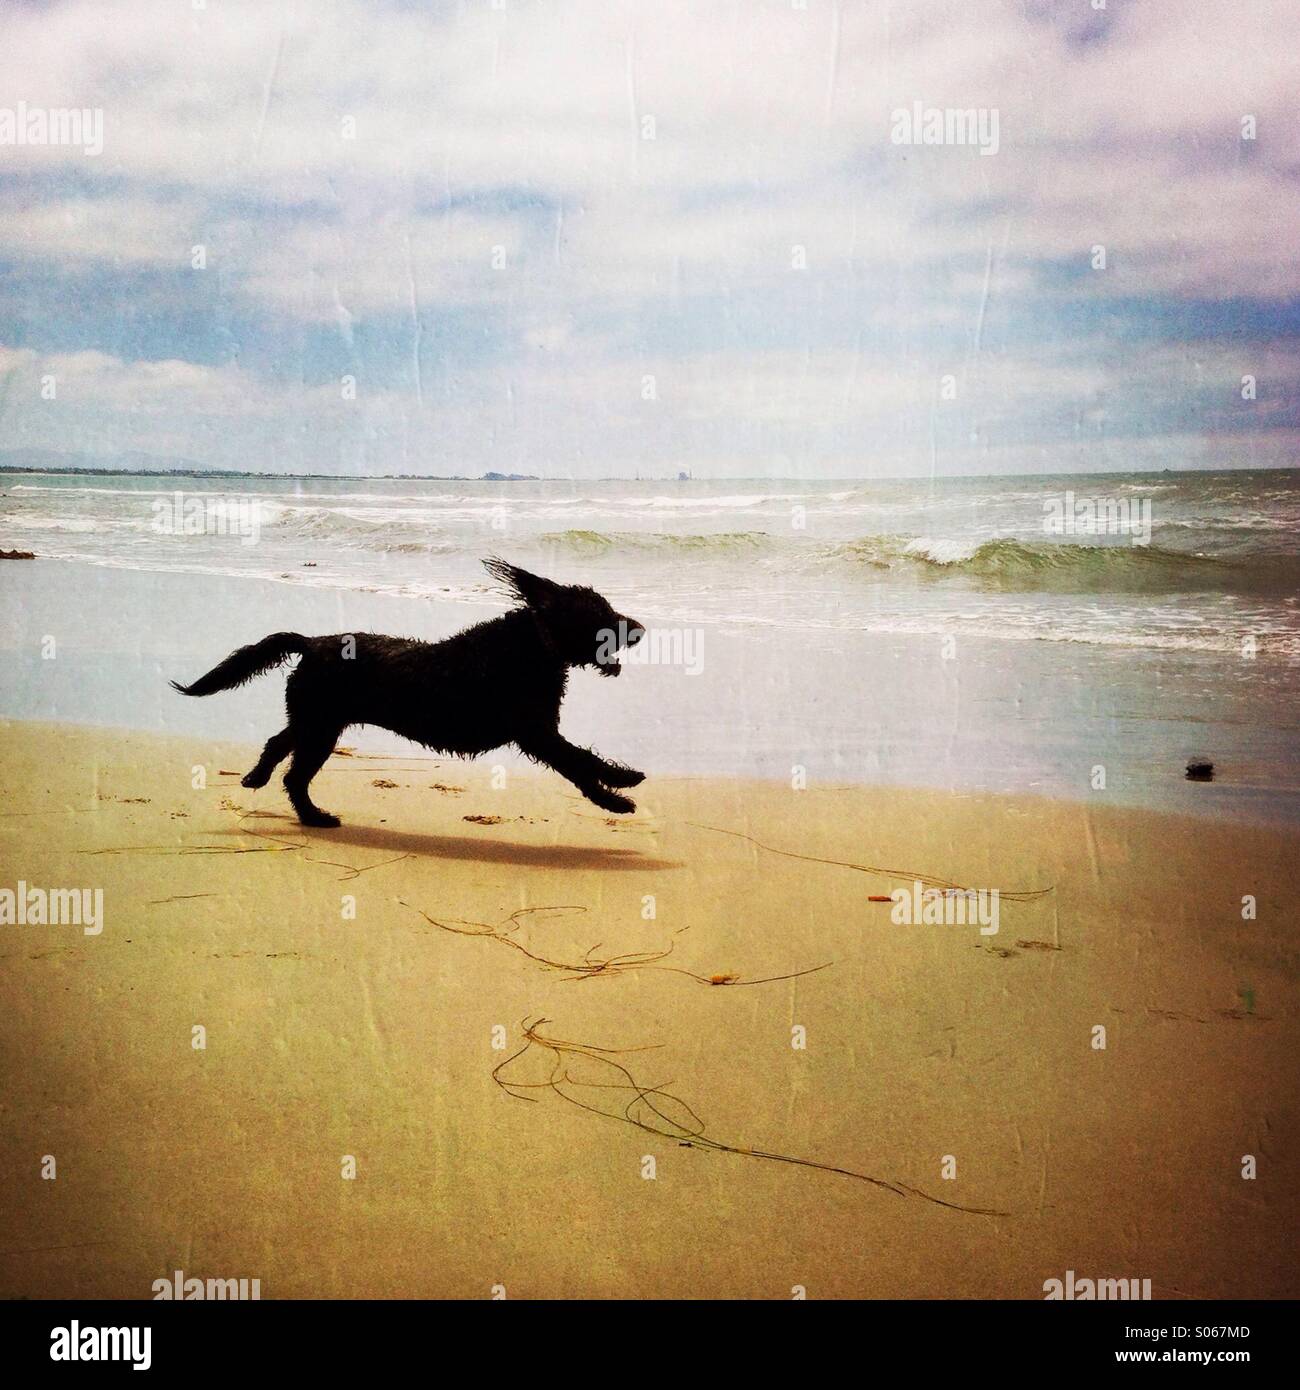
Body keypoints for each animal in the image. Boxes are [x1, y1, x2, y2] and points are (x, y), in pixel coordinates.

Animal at [173, 558, 650, 828]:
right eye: (601, 613)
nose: (641, 629)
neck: (534, 643)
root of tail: (311, 642)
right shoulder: (537, 733)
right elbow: (581, 763)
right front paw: (620, 792)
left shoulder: (540, 732)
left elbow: (581, 761)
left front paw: (619, 785)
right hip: (321, 726)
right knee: (295, 775)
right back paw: (315, 818)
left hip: (315, 720)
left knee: (278, 743)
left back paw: (258, 779)